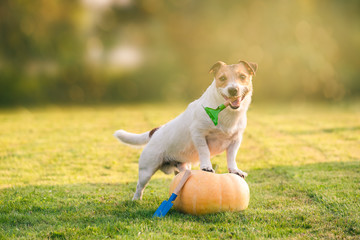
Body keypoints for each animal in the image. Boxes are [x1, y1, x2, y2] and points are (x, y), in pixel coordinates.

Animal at [114, 60, 258, 201]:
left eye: (242, 77)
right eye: (222, 78)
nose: (233, 90)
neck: (226, 113)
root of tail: (155, 131)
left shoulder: (236, 140)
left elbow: (231, 157)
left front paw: (234, 170)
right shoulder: (199, 133)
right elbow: (204, 151)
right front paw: (206, 167)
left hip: (183, 167)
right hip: (147, 169)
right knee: (140, 186)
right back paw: (136, 200)